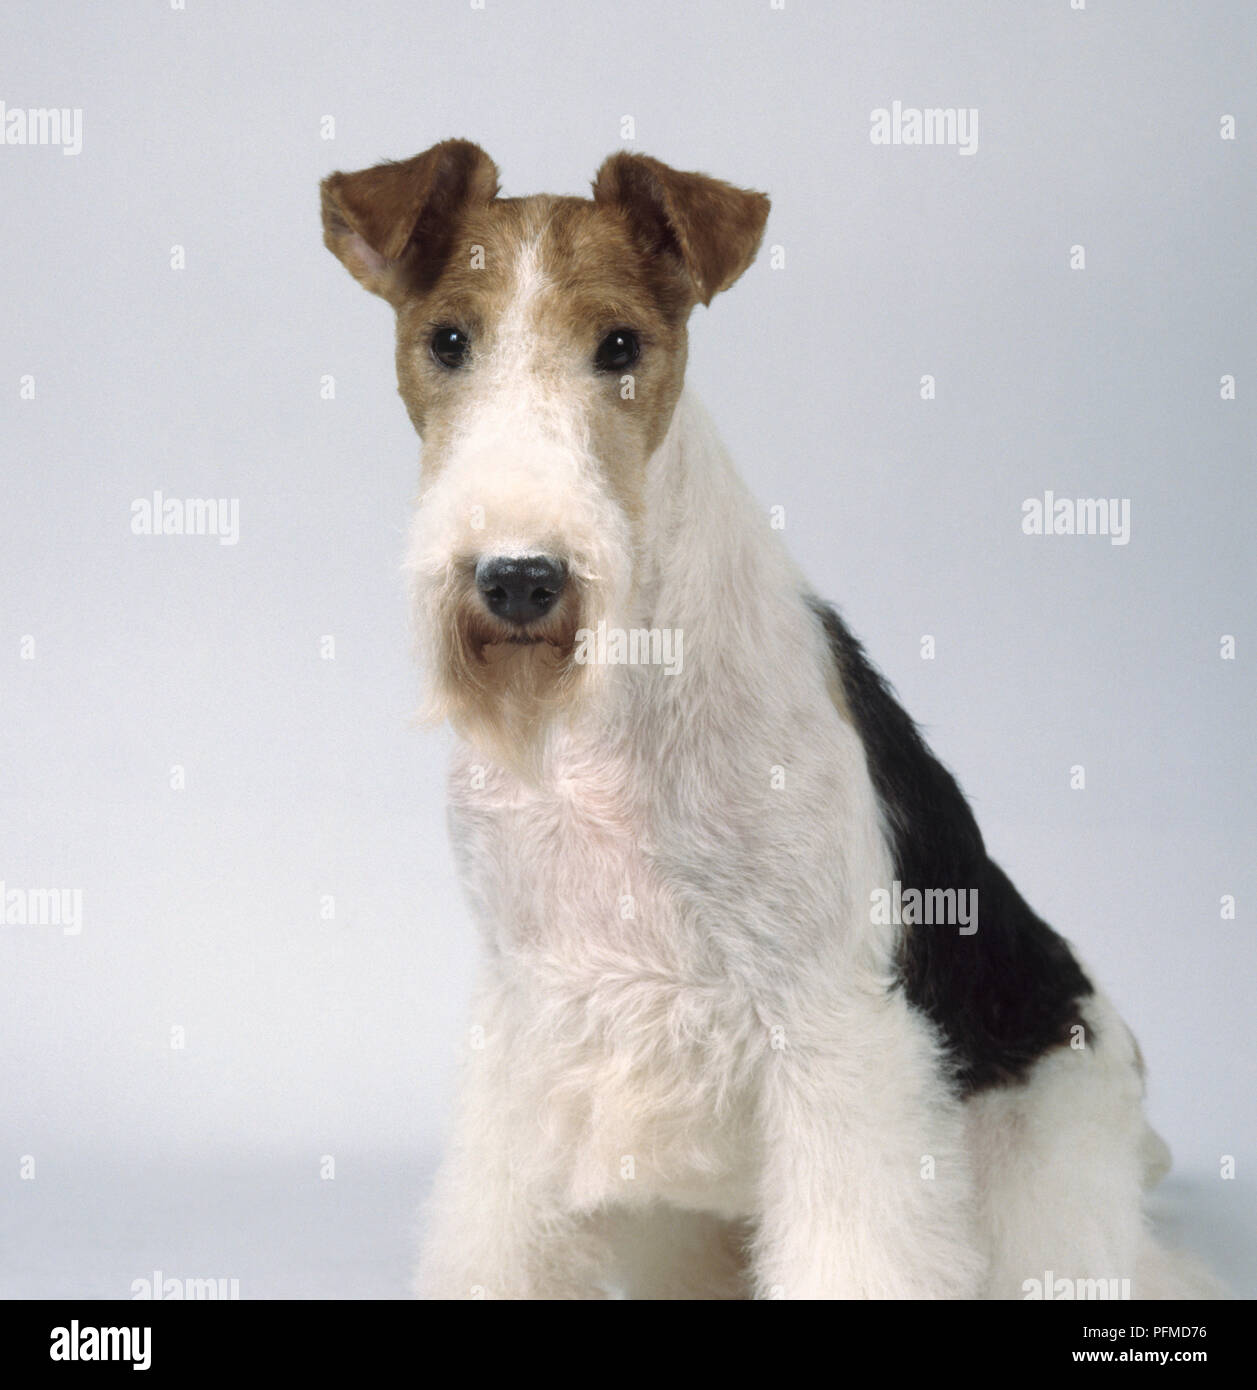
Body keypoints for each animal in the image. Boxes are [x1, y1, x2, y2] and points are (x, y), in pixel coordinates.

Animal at [319, 141, 1223, 1301]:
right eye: (447, 341)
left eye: (620, 344)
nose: (518, 578)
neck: (605, 710)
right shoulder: (526, 1012)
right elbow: (502, 1231)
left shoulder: (835, 1028)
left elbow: (856, 1242)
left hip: (1051, 1149)